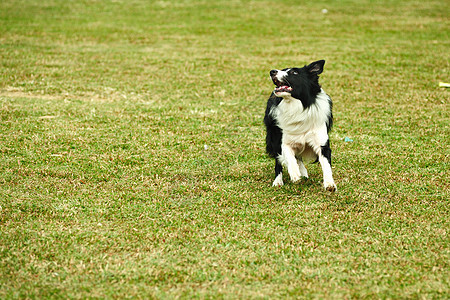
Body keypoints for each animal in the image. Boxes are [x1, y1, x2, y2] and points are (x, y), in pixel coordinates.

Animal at [264, 60, 338, 192]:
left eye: (294, 72)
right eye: (282, 69)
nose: (272, 71)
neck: (298, 106)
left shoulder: (322, 143)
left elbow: (326, 164)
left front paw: (330, 184)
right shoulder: (283, 140)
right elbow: (289, 156)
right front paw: (294, 174)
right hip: (274, 135)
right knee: (280, 161)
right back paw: (278, 181)